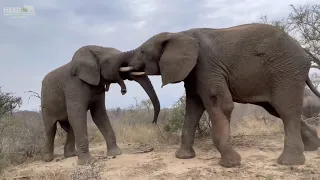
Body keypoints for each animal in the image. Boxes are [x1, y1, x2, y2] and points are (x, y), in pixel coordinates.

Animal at [118, 23, 320, 168]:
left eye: (142, 51)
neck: (178, 34)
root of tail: (304, 51)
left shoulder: (207, 66)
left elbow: (220, 104)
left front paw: (231, 164)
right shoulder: (194, 72)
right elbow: (193, 109)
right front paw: (183, 157)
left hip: (286, 72)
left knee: (286, 110)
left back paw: (290, 162)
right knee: (275, 109)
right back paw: (312, 147)